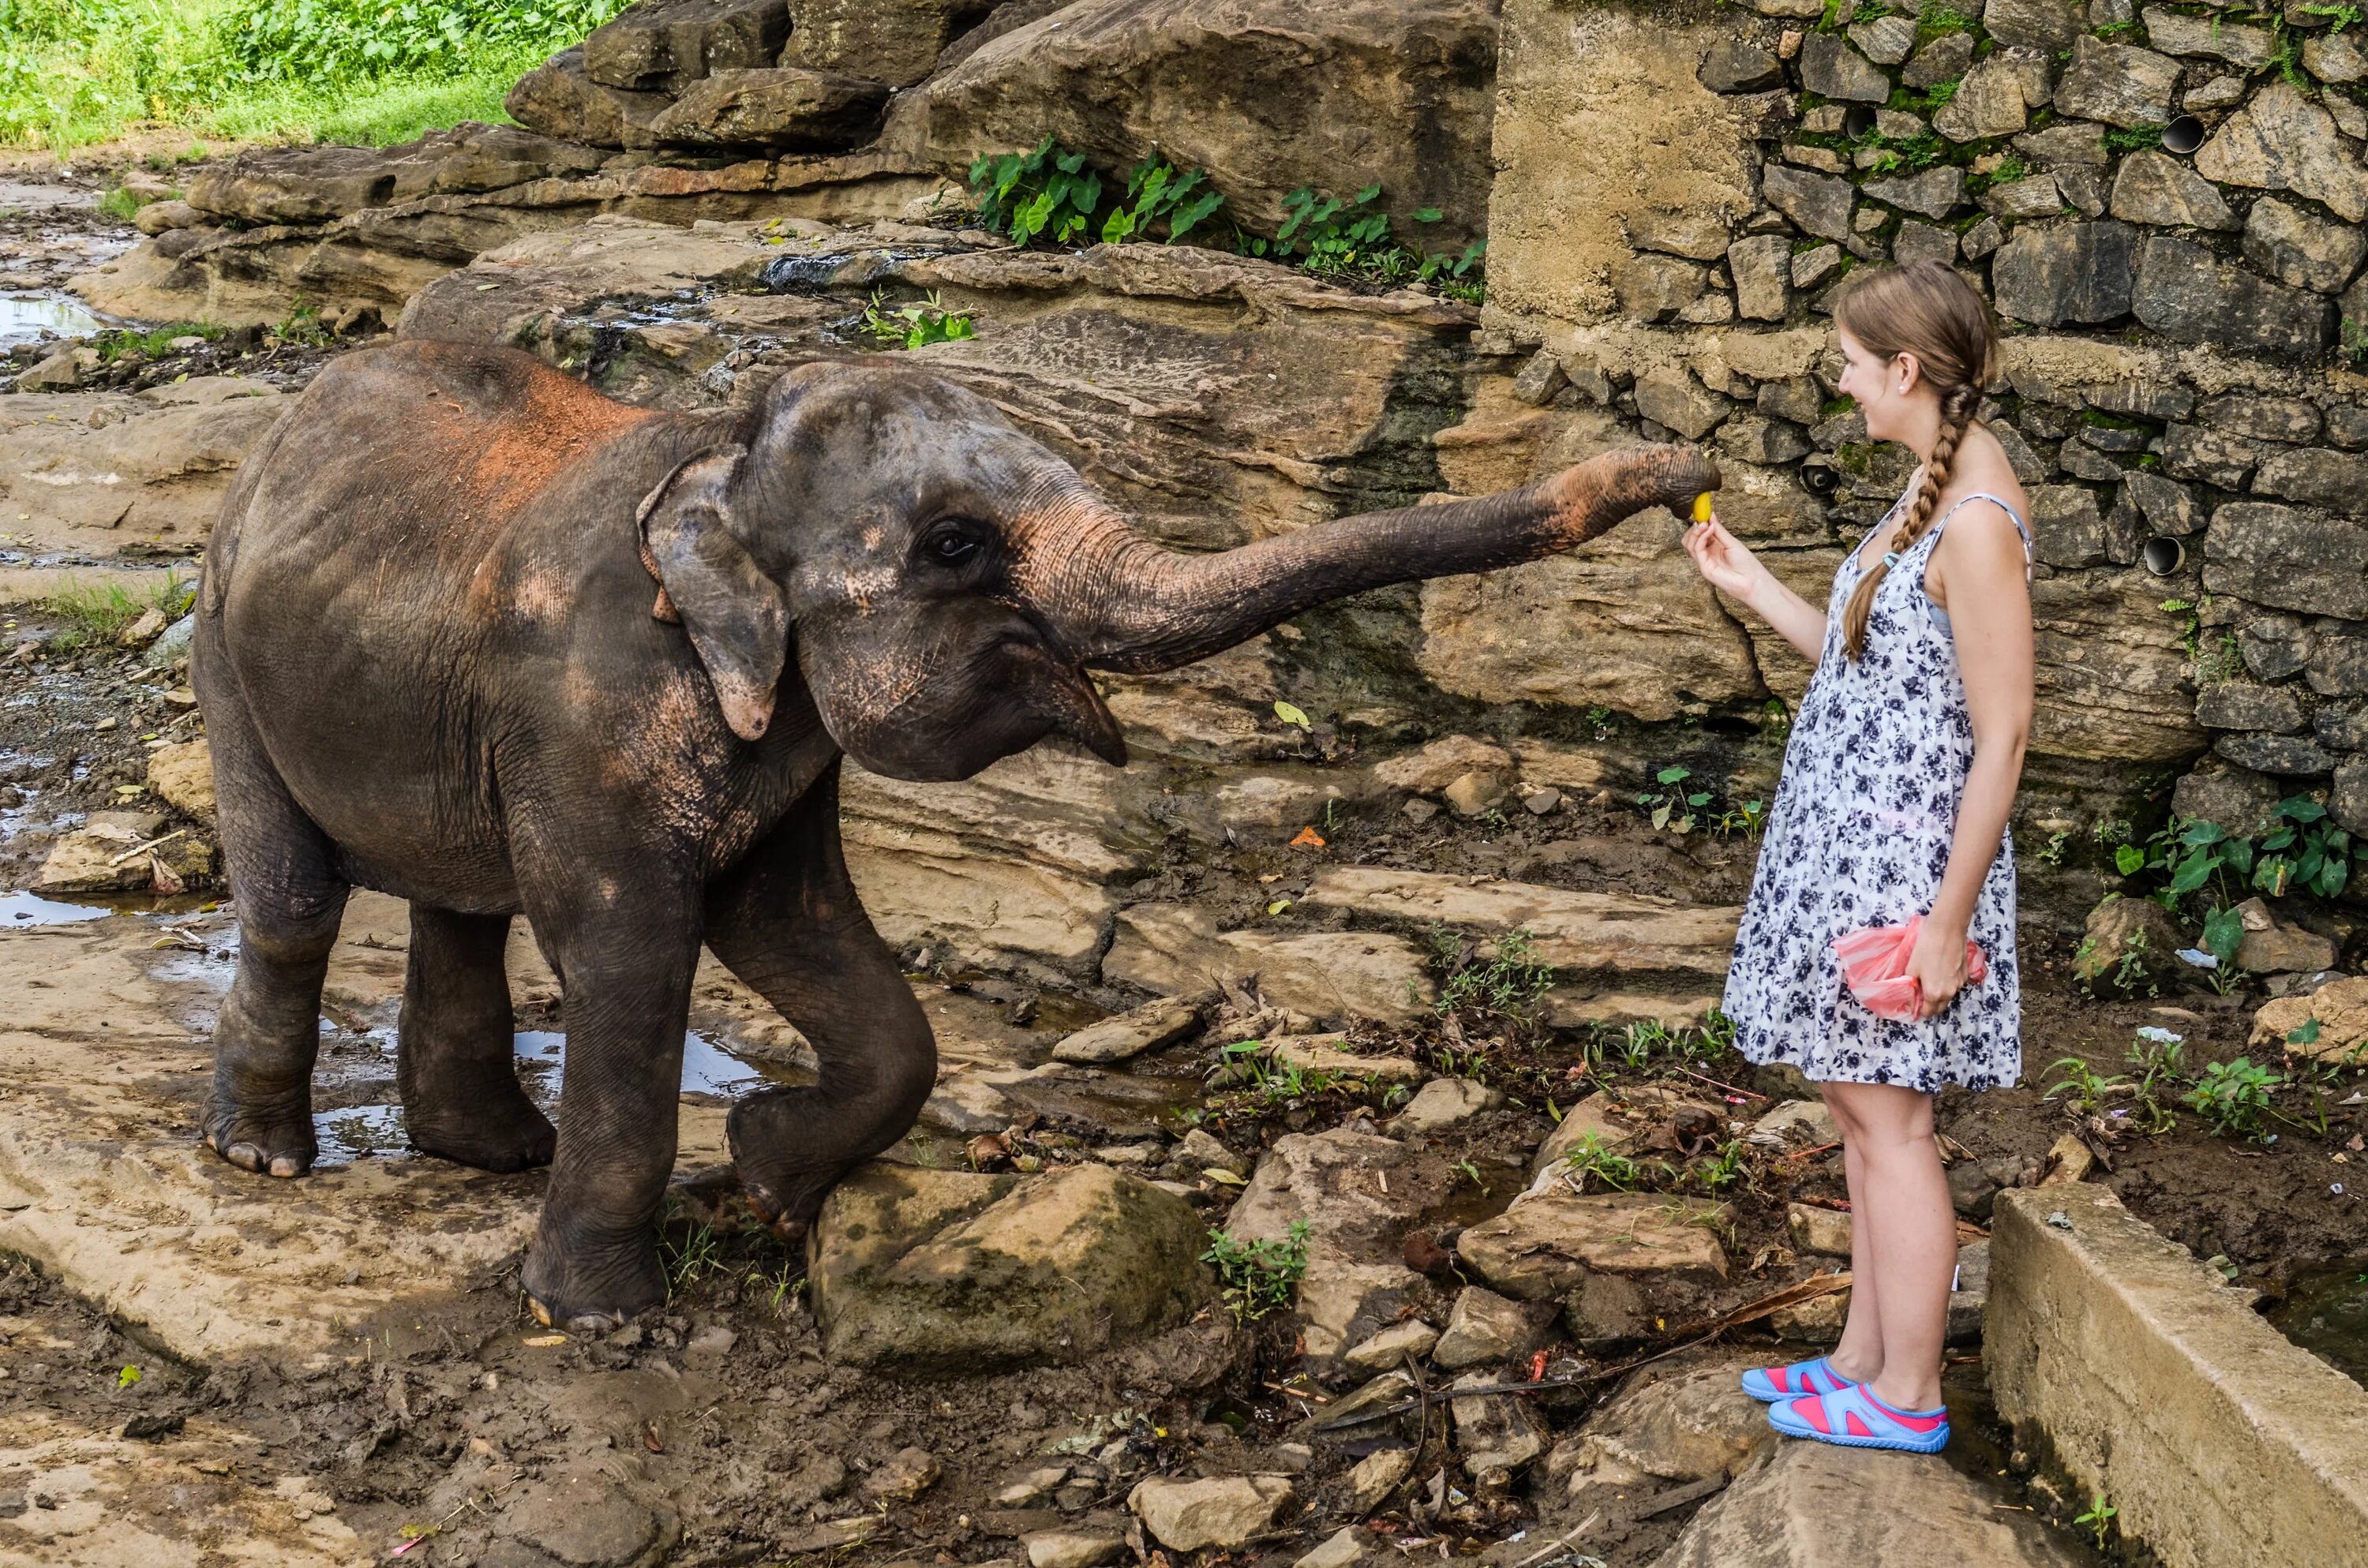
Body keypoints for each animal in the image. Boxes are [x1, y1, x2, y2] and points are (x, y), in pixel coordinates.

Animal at [199, 341, 1724, 1326]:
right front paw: (610, 1321)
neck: (719, 443)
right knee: (298, 898)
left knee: (460, 894)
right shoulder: (592, 698)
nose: (1698, 480)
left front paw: (768, 1176)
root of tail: (286, 418)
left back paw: (488, 1156)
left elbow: (795, 922)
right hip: (224, 640)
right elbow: (633, 951)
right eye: (955, 546)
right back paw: (266, 1160)